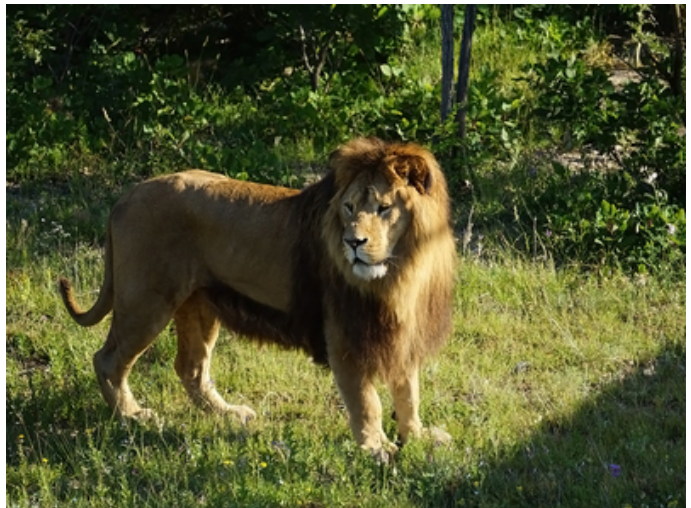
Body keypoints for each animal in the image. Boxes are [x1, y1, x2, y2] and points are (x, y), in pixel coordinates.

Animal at [59, 137, 456, 458]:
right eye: (348, 208)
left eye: (384, 208)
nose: (353, 242)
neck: (401, 273)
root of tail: (126, 196)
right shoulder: (344, 335)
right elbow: (366, 401)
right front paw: (377, 448)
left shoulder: (404, 332)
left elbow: (409, 392)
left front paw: (418, 436)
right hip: (146, 301)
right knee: (108, 360)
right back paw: (133, 417)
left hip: (197, 305)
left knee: (190, 368)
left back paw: (228, 414)